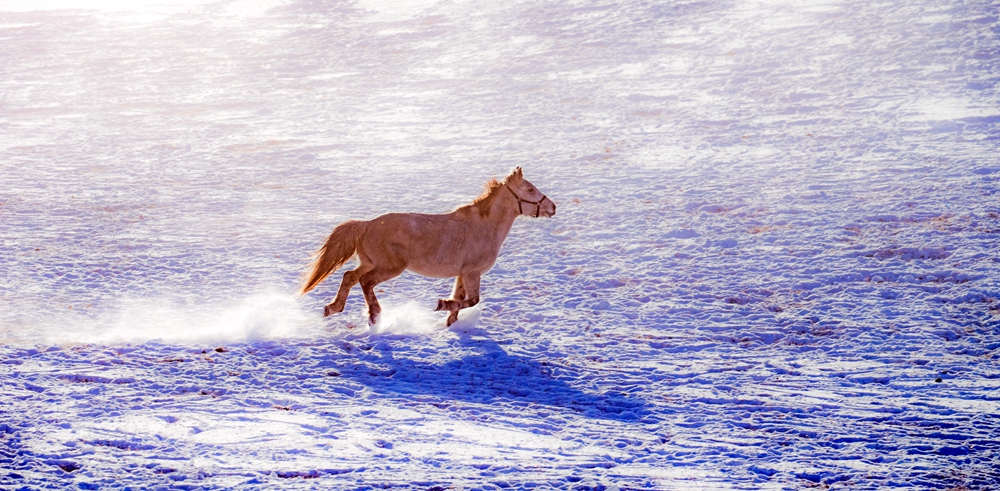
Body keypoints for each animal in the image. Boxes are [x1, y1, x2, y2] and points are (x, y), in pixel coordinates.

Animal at [300, 167, 556, 327]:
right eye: (530, 190)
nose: (552, 207)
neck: (483, 227)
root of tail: (366, 225)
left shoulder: (462, 274)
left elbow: (460, 298)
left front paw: (450, 322)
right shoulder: (472, 272)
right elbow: (472, 300)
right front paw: (442, 305)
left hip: (369, 262)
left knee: (349, 277)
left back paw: (332, 308)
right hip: (390, 267)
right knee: (365, 282)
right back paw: (374, 317)